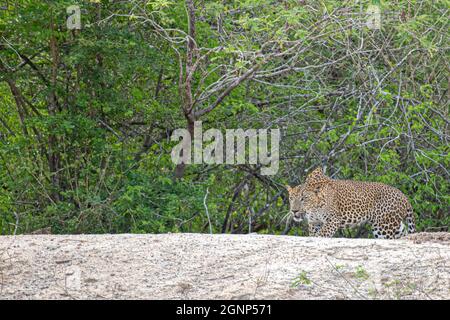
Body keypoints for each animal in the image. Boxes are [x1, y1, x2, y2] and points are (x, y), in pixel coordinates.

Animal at [286, 168, 416, 238]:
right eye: (291, 198)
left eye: (304, 198)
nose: (294, 211)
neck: (313, 208)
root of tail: (404, 196)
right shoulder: (315, 223)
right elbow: (314, 235)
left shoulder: (333, 219)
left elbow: (322, 234)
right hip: (393, 224)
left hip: (383, 226)